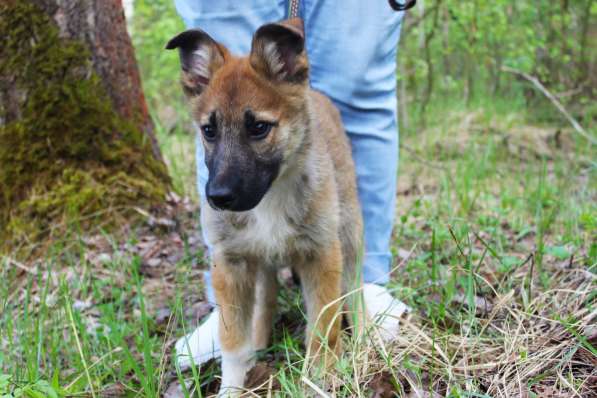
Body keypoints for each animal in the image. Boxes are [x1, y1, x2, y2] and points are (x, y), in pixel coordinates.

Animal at [166, 17, 364, 394]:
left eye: (258, 127)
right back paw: (258, 345)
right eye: (209, 131)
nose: (217, 198)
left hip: (349, 235)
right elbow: (232, 342)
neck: (270, 198)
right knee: (263, 303)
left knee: (355, 289)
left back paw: (366, 335)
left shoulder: (322, 254)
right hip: (259, 263)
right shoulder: (231, 265)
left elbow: (324, 328)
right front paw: (231, 388)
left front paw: (321, 378)